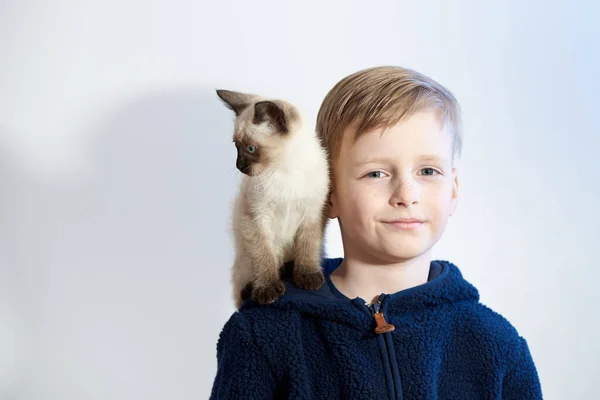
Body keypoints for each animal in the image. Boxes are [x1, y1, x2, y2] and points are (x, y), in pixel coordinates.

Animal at [216, 90, 328, 310]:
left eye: (251, 149)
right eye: (237, 147)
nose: (239, 166)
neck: (284, 170)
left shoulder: (312, 213)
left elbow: (308, 247)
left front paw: (307, 276)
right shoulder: (255, 218)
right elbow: (264, 256)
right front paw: (267, 289)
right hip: (244, 256)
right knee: (244, 285)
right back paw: (255, 287)